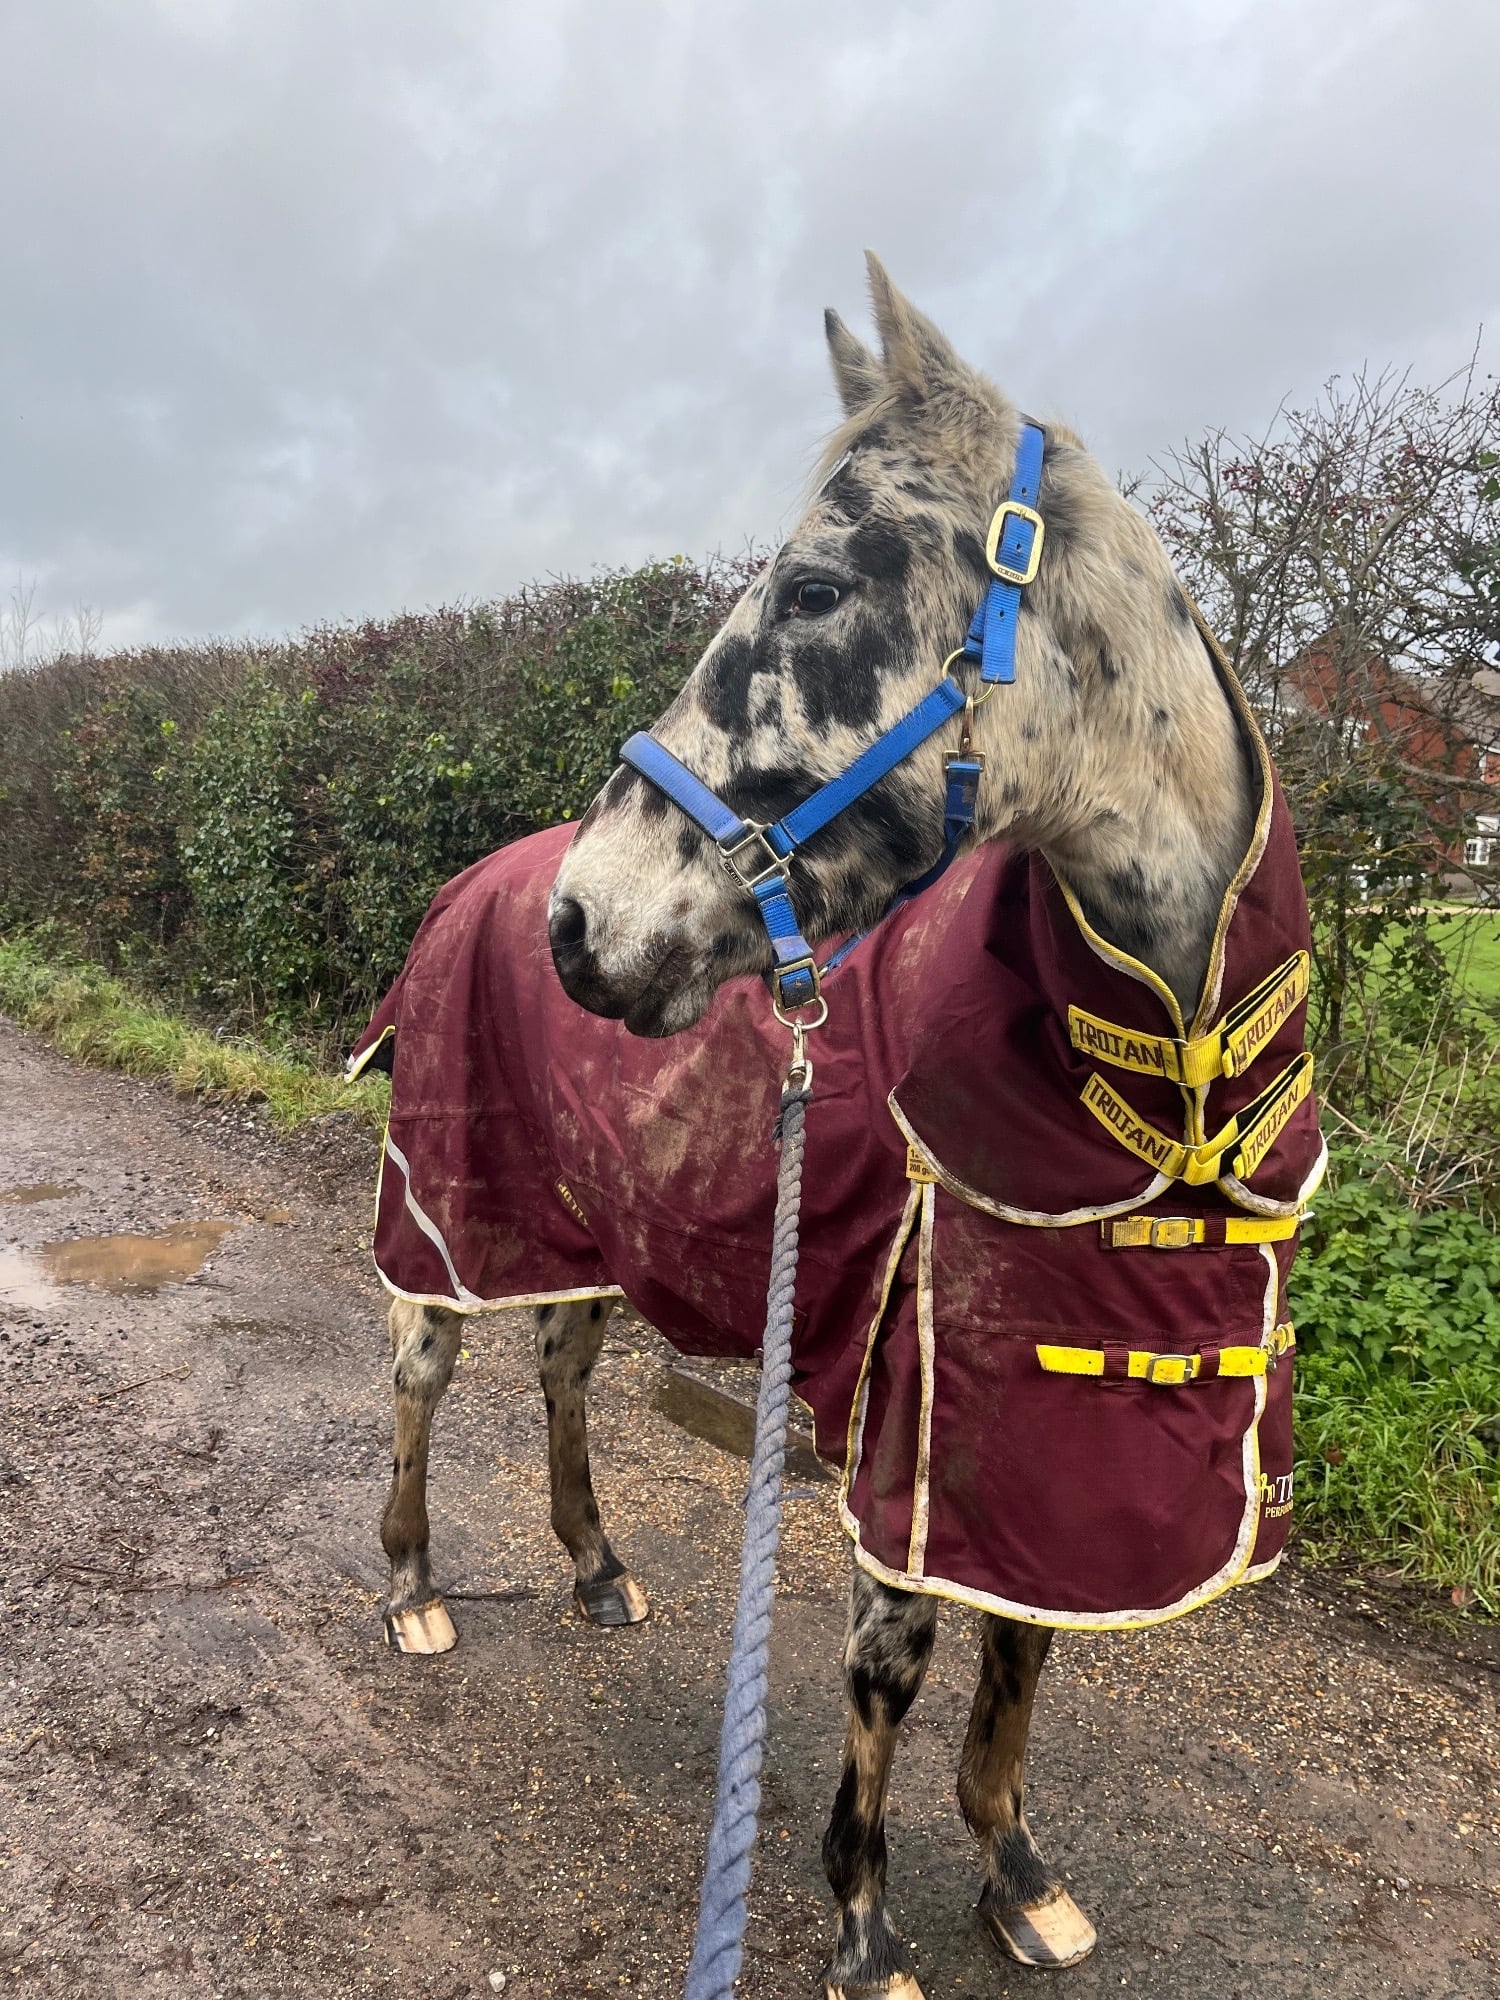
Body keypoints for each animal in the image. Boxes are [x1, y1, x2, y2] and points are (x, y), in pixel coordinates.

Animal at [360, 256, 1320, 1999]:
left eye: (813, 592)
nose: (582, 924)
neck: (1172, 1093)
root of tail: (478, 882)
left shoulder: (1048, 1430)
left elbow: (1025, 1645)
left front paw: (1015, 1867)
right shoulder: (920, 1404)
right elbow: (896, 1656)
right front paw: (866, 1920)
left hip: (590, 1230)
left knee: (562, 1370)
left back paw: (595, 1567)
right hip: (453, 1217)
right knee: (423, 1373)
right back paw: (409, 1584)